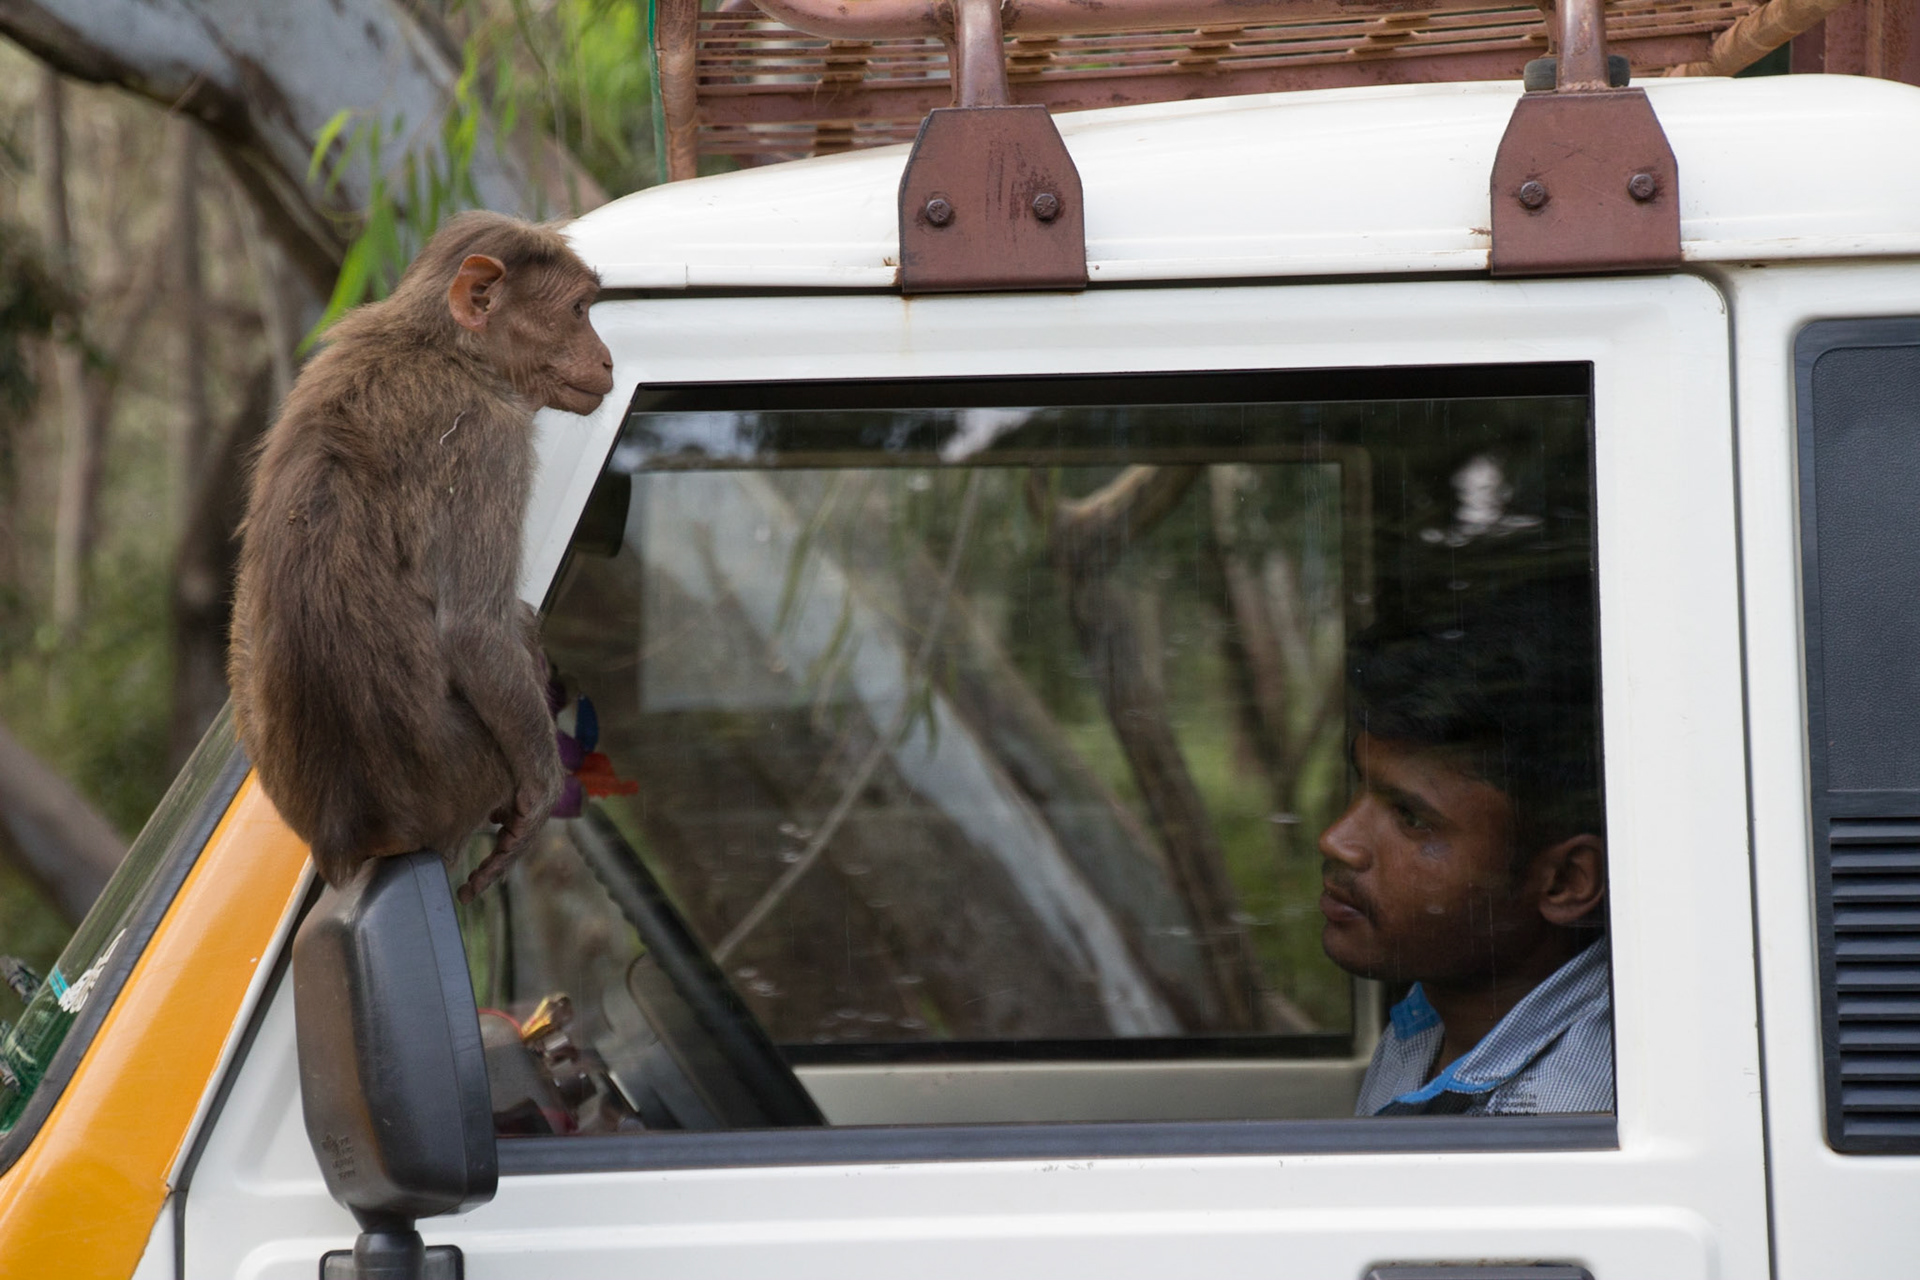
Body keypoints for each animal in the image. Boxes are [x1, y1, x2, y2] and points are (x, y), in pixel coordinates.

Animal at [228, 210, 614, 903]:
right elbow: (475, 631)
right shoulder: (491, 438)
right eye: (577, 311)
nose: (606, 358)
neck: (440, 347)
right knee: (511, 625)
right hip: (467, 775)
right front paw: (541, 797)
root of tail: (345, 839)